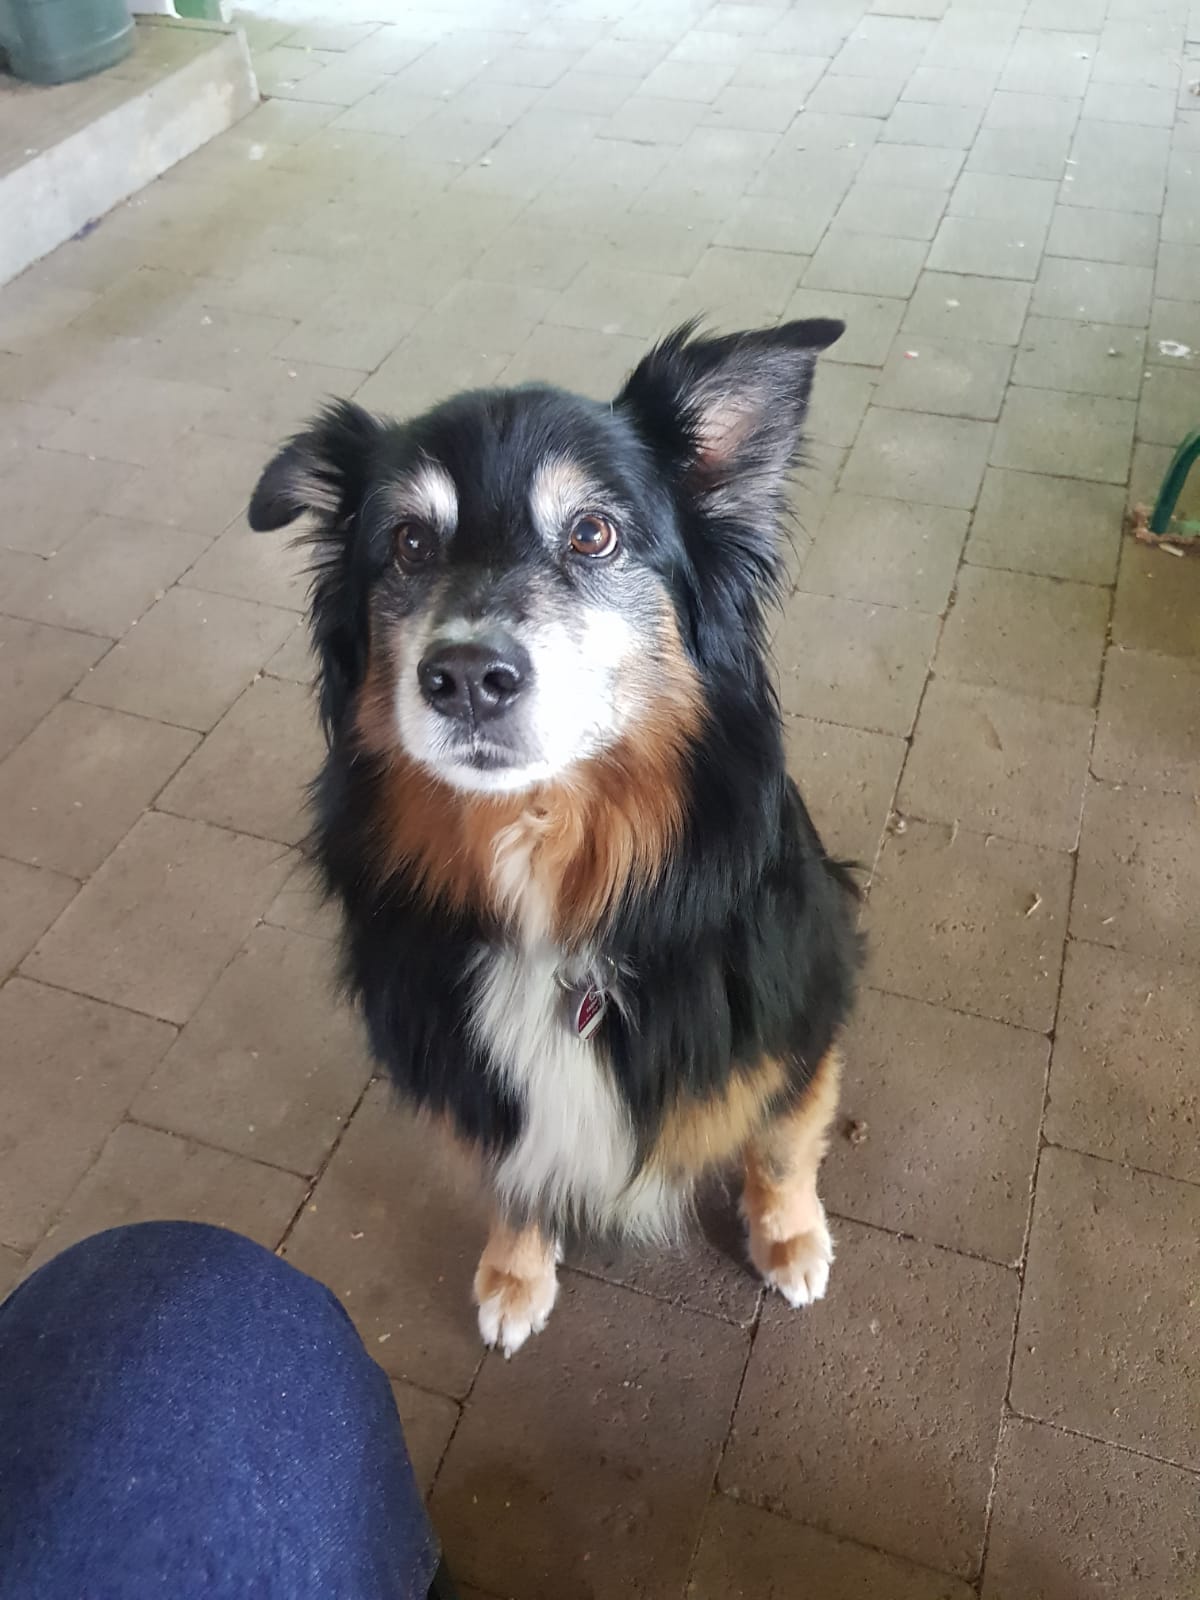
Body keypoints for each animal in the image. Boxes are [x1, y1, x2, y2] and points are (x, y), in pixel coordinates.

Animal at [249, 319, 861, 1356]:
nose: (465, 677)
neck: (546, 860)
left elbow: (780, 1144)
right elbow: (514, 1181)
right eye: (409, 542)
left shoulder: (791, 1020)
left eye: (593, 532)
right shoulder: (471, 1074)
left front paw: (789, 1240)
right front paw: (514, 1273)